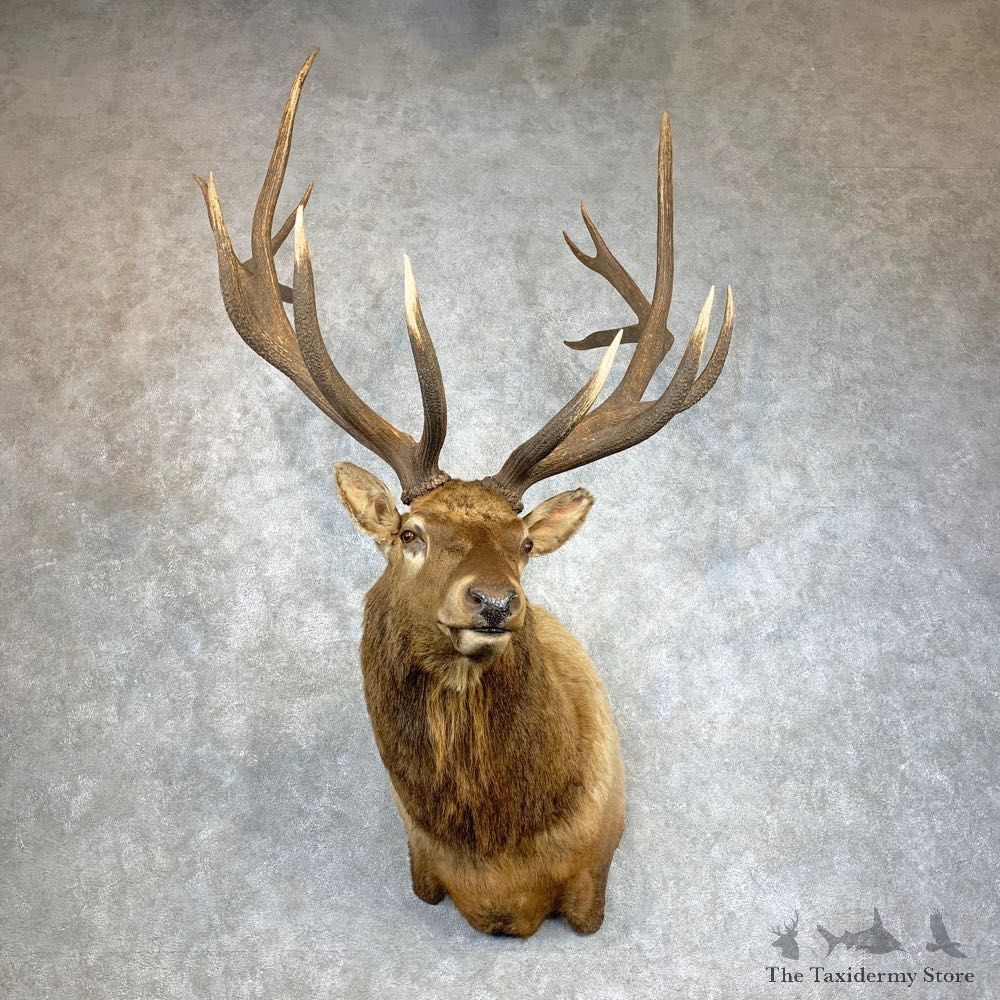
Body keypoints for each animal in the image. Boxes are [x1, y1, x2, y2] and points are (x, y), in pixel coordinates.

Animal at [195, 49, 734, 938]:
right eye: (410, 532)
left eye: (525, 545)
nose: (494, 601)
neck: (501, 864)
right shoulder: (421, 867)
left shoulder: (593, 880)